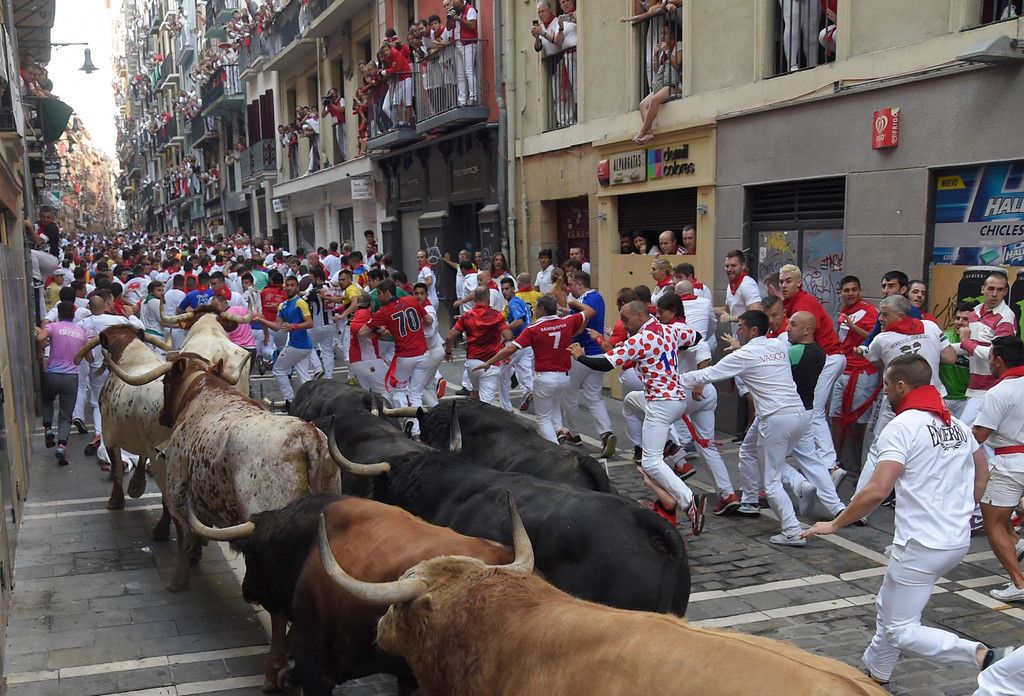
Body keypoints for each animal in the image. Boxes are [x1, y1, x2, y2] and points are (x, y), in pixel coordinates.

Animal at [102, 353, 341, 593]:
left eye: (165, 382)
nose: (162, 417)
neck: (202, 390)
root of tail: (307, 436)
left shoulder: (177, 491)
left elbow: (183, 535)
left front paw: (179, 580)